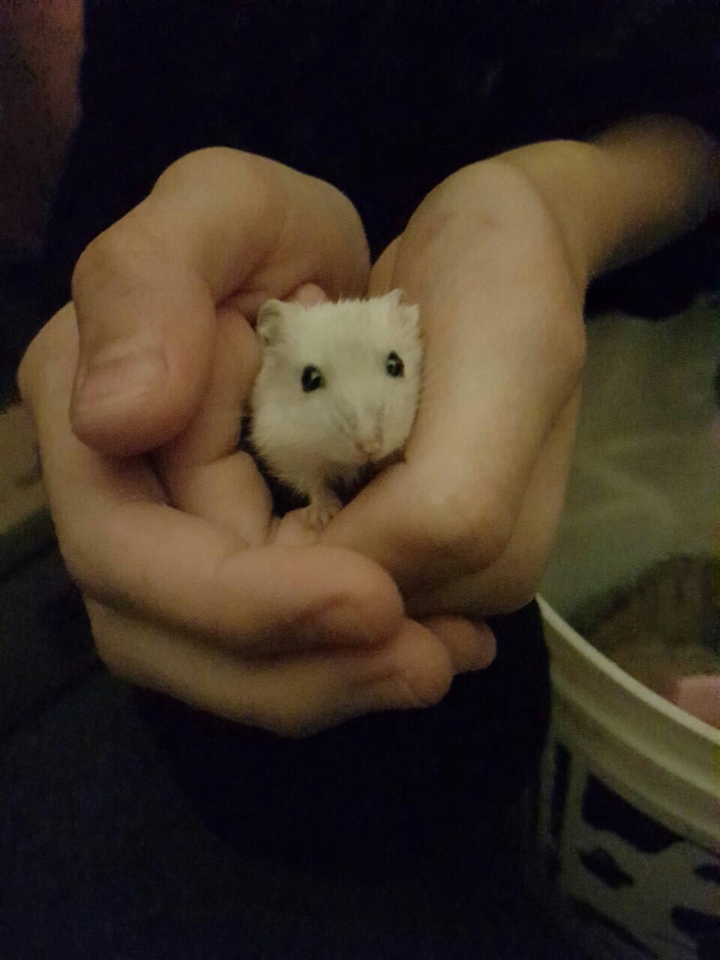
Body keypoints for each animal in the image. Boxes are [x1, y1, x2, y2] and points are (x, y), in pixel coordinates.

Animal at [250, 289, 423, 529]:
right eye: (310, 379)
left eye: (396, 365)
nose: (371, 447)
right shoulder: (286, 451)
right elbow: (314, 483)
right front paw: (324, 518)